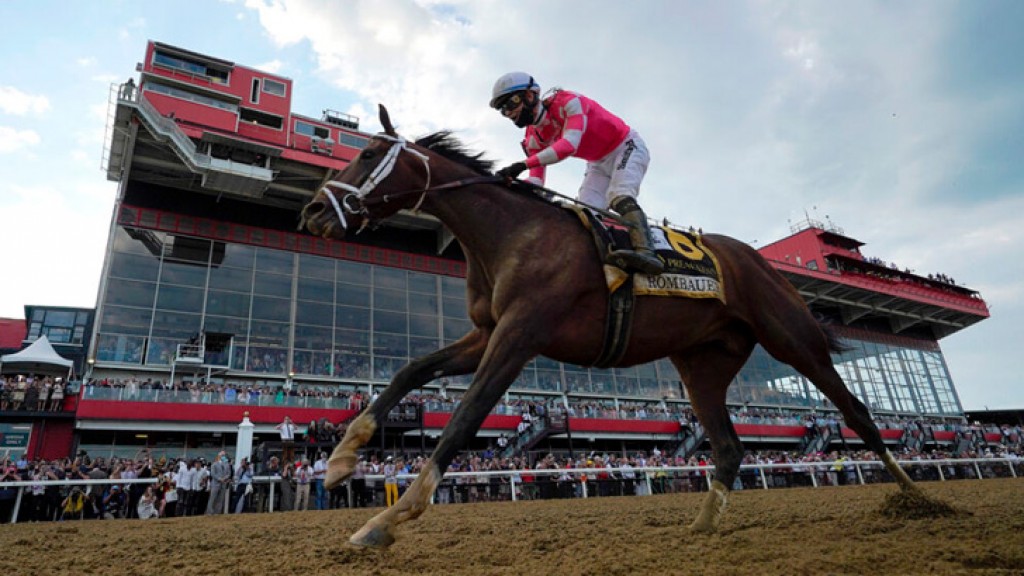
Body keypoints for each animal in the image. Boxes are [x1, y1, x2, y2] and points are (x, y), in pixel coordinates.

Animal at [299, 105, 927, 548]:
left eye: (366, 154)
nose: (311, 211)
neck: (511, 234)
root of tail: (760, 261)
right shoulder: (486, 334)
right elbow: (410, 370)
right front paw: (341, 461)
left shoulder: (520, 335)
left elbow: (463, 419)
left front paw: (387, 519)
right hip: (703, 365)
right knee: (727, 448)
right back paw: (703, 526)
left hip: (794, 340)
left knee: (857, 414)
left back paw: (919, 498)